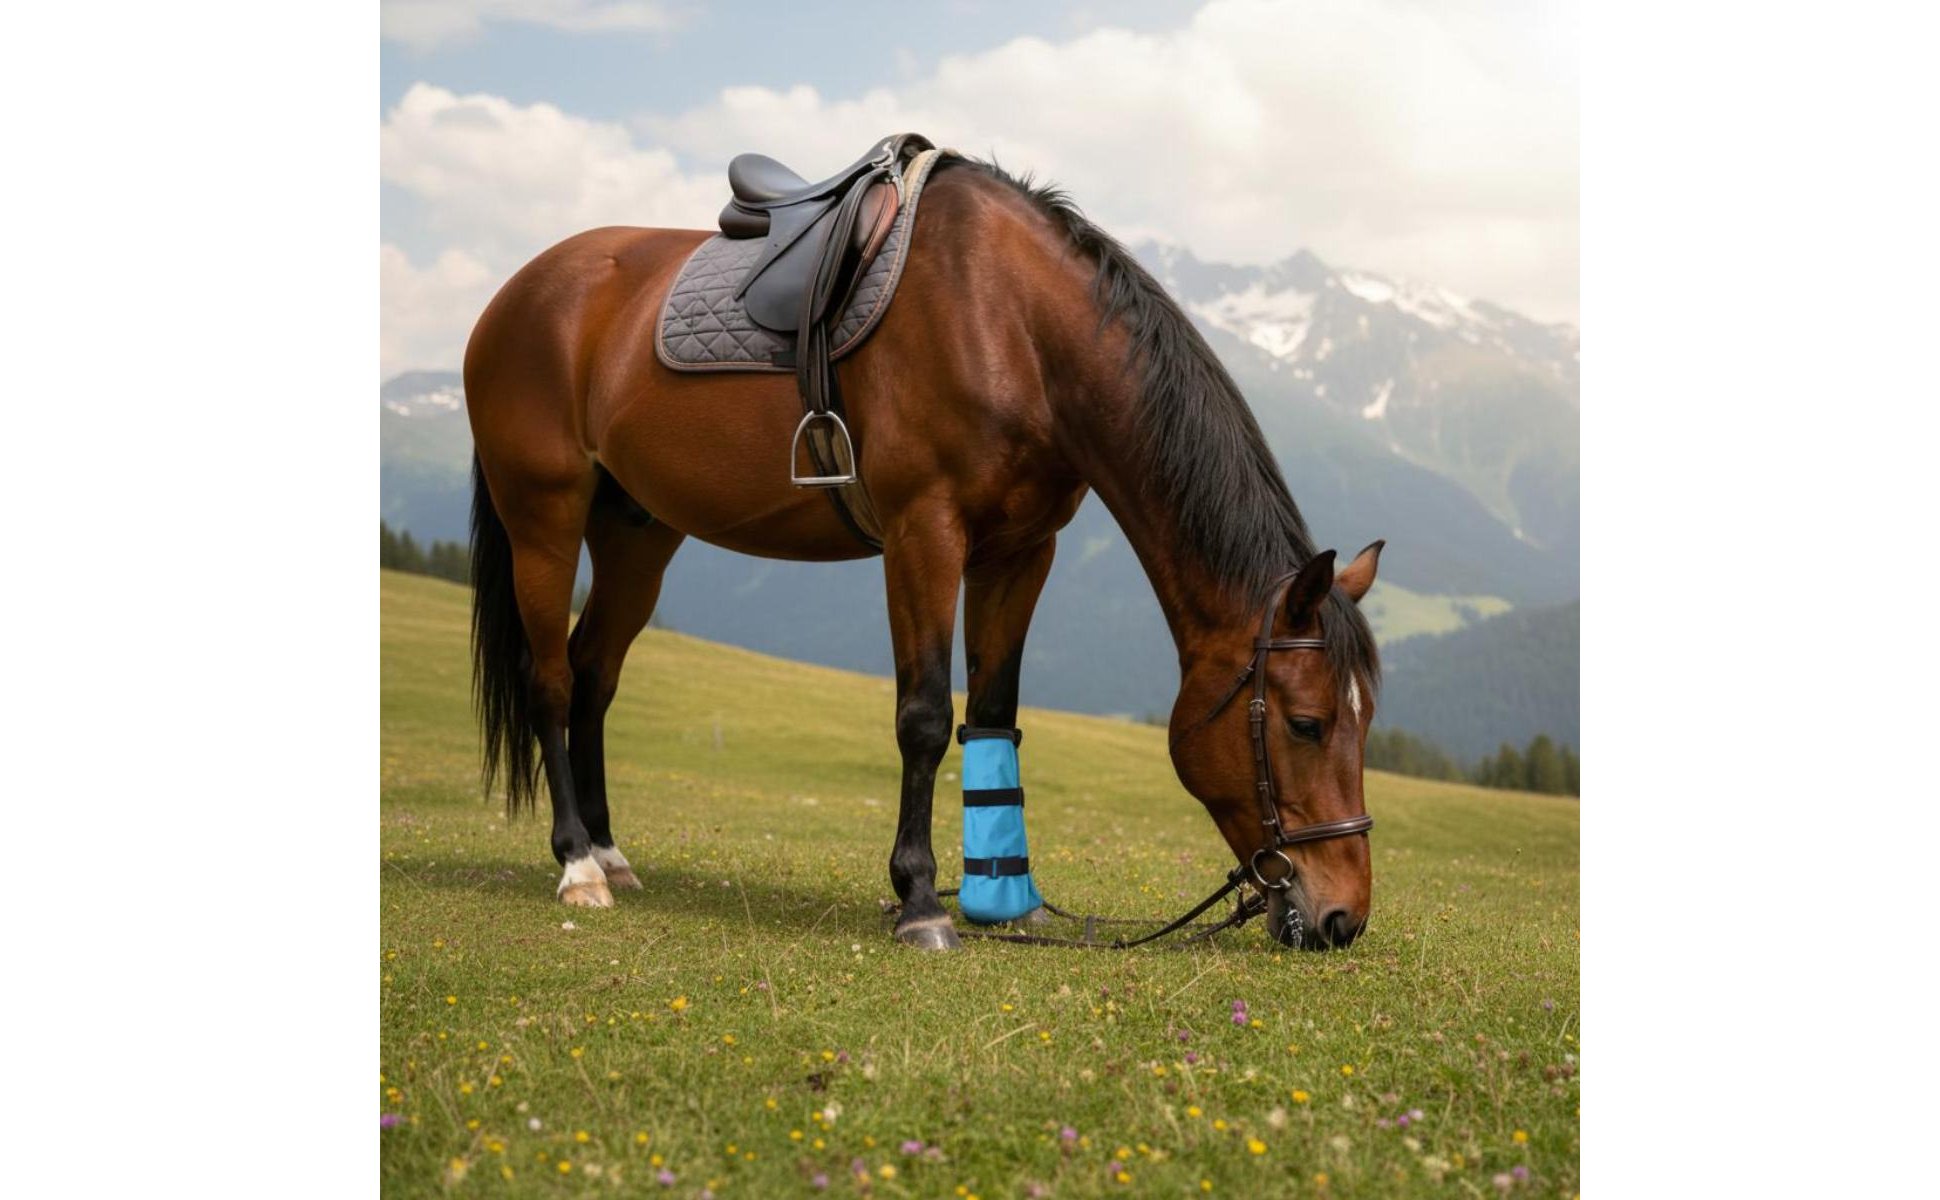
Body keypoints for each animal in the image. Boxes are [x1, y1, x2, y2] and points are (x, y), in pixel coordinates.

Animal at [463, 154, 1385, 951]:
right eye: (1305, 724)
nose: (1342, 917)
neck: (1016, 325)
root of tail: (516, 293)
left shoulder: (1021, 551)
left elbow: (994, 712)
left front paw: (1007, 899)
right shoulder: (923, 531)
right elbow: (926, 717)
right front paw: (919, 900)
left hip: (637, 534)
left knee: (594, 676)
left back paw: (612, 853)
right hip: (543, 516)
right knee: (550, 681)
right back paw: (578, 862)